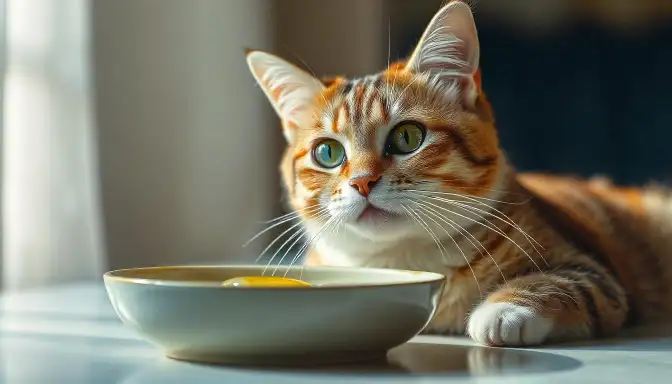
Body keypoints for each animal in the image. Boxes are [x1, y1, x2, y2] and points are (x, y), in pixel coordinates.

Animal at [245, 0, 672, 348]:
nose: (361, 181)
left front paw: (504, 310)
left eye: (407, 137)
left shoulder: (597, 274)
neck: (402, 258)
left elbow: (567, 282)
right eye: (328, 153)